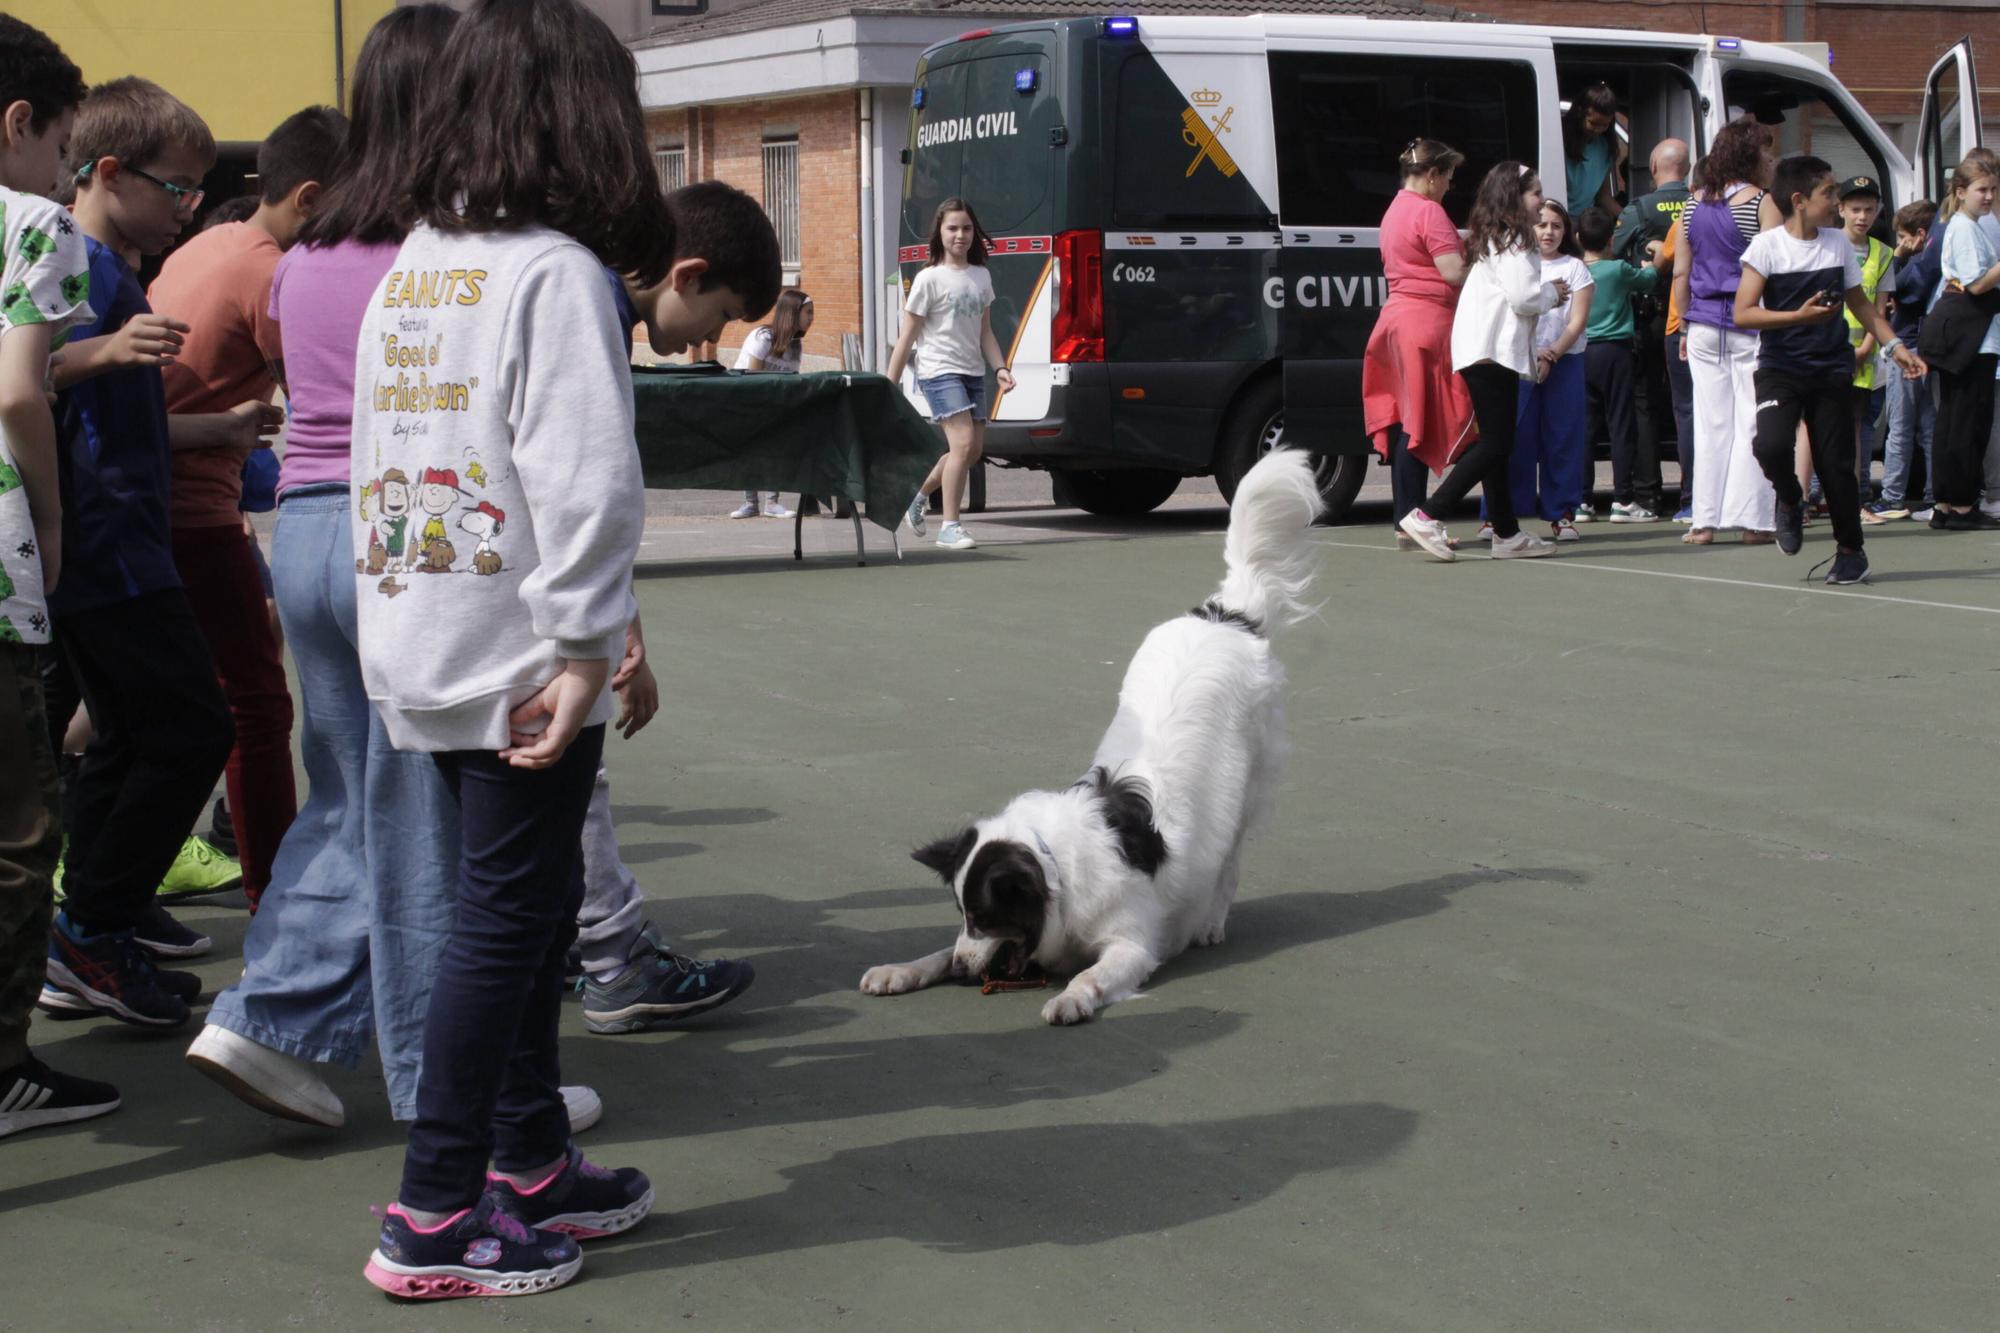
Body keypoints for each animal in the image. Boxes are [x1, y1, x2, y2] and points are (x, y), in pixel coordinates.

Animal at [852, 446, 1320, 1016]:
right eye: (963, 916)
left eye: (985, 918)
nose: (964, 975)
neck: (1057, 871)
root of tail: (1226, 614)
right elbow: (935, 953)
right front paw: (902, 970)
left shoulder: (1132, 945)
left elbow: (1094, 975)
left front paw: (1072, 998)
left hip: (1248, 795)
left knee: (1228, 865)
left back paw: (1209, 923)